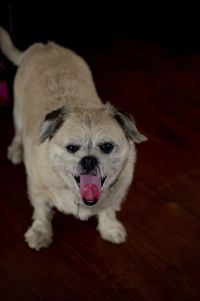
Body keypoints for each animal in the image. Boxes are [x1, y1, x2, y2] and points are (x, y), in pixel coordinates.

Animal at [0, 27, 147, 250]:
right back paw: (16, 151)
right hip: (17, 112)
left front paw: (110, 227)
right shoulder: (37, 189)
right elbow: (42, 212)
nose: (88, 160)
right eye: (71, 148)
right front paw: (40, 233)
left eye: (107, 147)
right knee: (17, 131)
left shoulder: (116, 194)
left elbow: (108, 210)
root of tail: (44, 46)